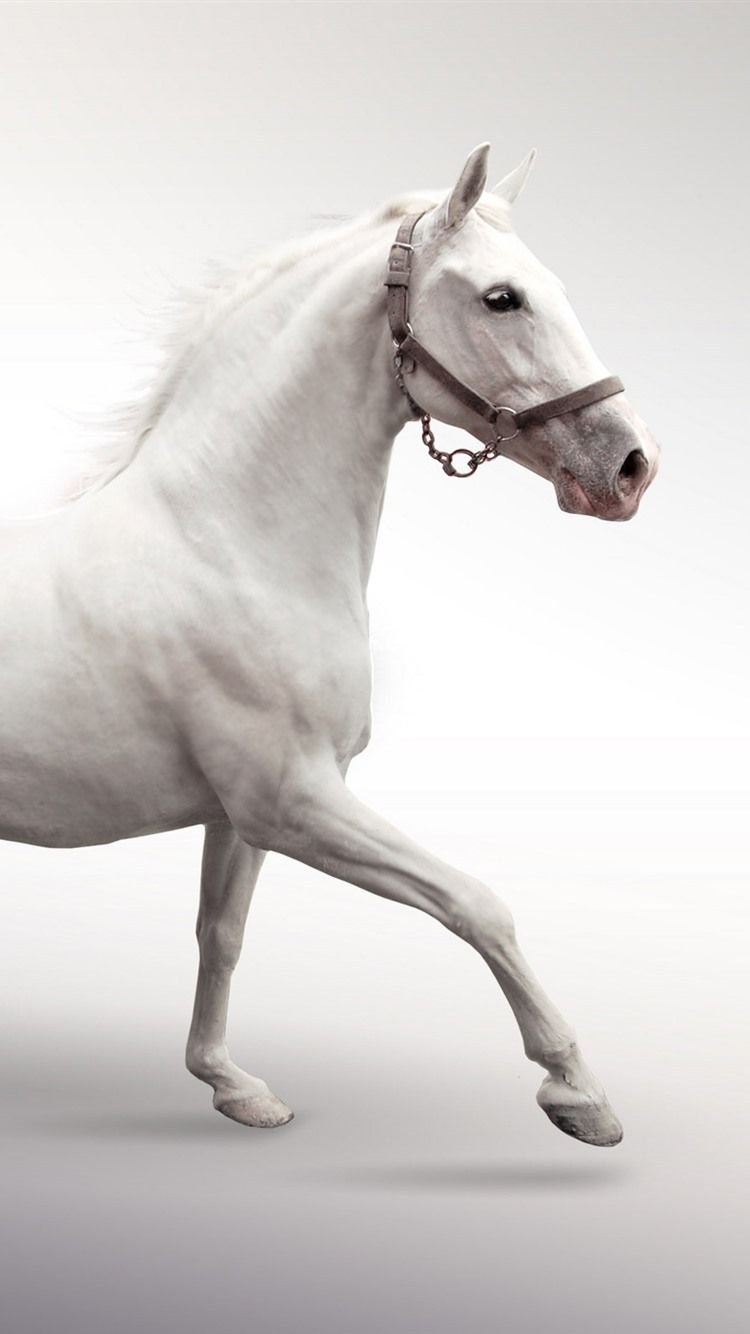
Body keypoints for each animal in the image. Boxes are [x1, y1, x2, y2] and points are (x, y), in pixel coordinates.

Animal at [0, 143, 659, 1146]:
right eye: (501, 298)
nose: (629, 468)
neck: (232, 544)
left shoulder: (242, 816)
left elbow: (222, 934)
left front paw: (231, 1086)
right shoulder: (295, 801)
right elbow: (479, 905)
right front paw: (578, 1092)